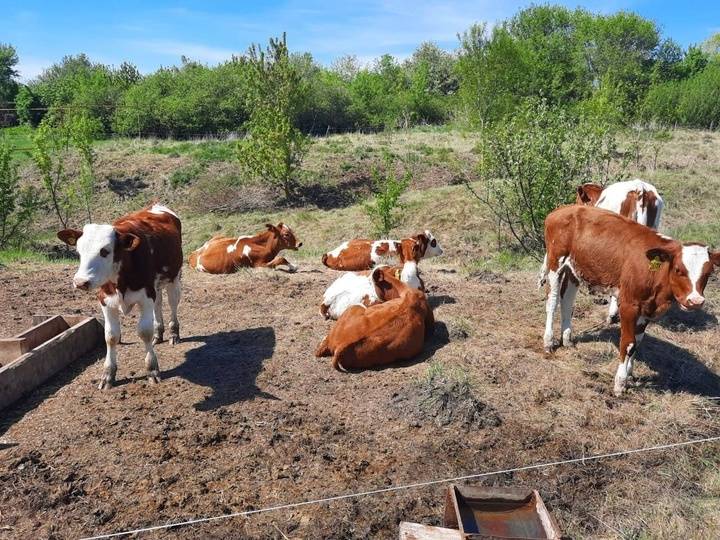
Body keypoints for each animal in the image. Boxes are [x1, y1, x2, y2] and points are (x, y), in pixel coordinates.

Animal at [58, 202, 183, 388]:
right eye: (79, 252)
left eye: (105, 251)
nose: (80, 282)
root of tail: (156, 205)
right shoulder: (105, 300)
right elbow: (110, 336)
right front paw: (108, 375)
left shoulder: (146, 296)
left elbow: (144, 332)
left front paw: (152, 369)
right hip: (156, 286)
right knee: (159, 304)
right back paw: (158, 334)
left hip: (174, 276)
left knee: (173, 302)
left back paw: (174, 334)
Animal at [536, 207, 716, 396]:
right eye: (678, 269)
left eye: (709, 273)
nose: (695, 301)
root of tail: (561, 210)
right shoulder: (629, 305)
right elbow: (629, 343)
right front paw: (620, 382)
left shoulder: (647, 309)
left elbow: (638, 342)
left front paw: (630, 374)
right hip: (555, 261)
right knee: (552, 301)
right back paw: (548, 341)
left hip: (575, 269)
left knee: (567, 300)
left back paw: (567, 338)